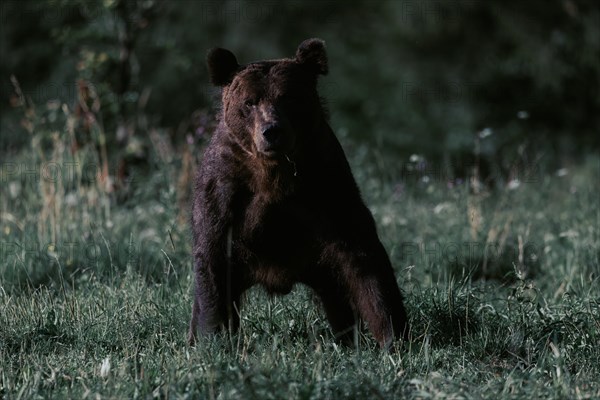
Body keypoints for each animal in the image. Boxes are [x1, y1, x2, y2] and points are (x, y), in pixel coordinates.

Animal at [190, 39, 410, 348]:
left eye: (288, 97)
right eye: (249, 101)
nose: (272, 131)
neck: (273, 171)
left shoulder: (327, 182)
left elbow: (365, 259)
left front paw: (392, 336)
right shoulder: (226, 187)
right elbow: (212, 256)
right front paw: (213, 338)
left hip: (322, 264)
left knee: (339, 299)